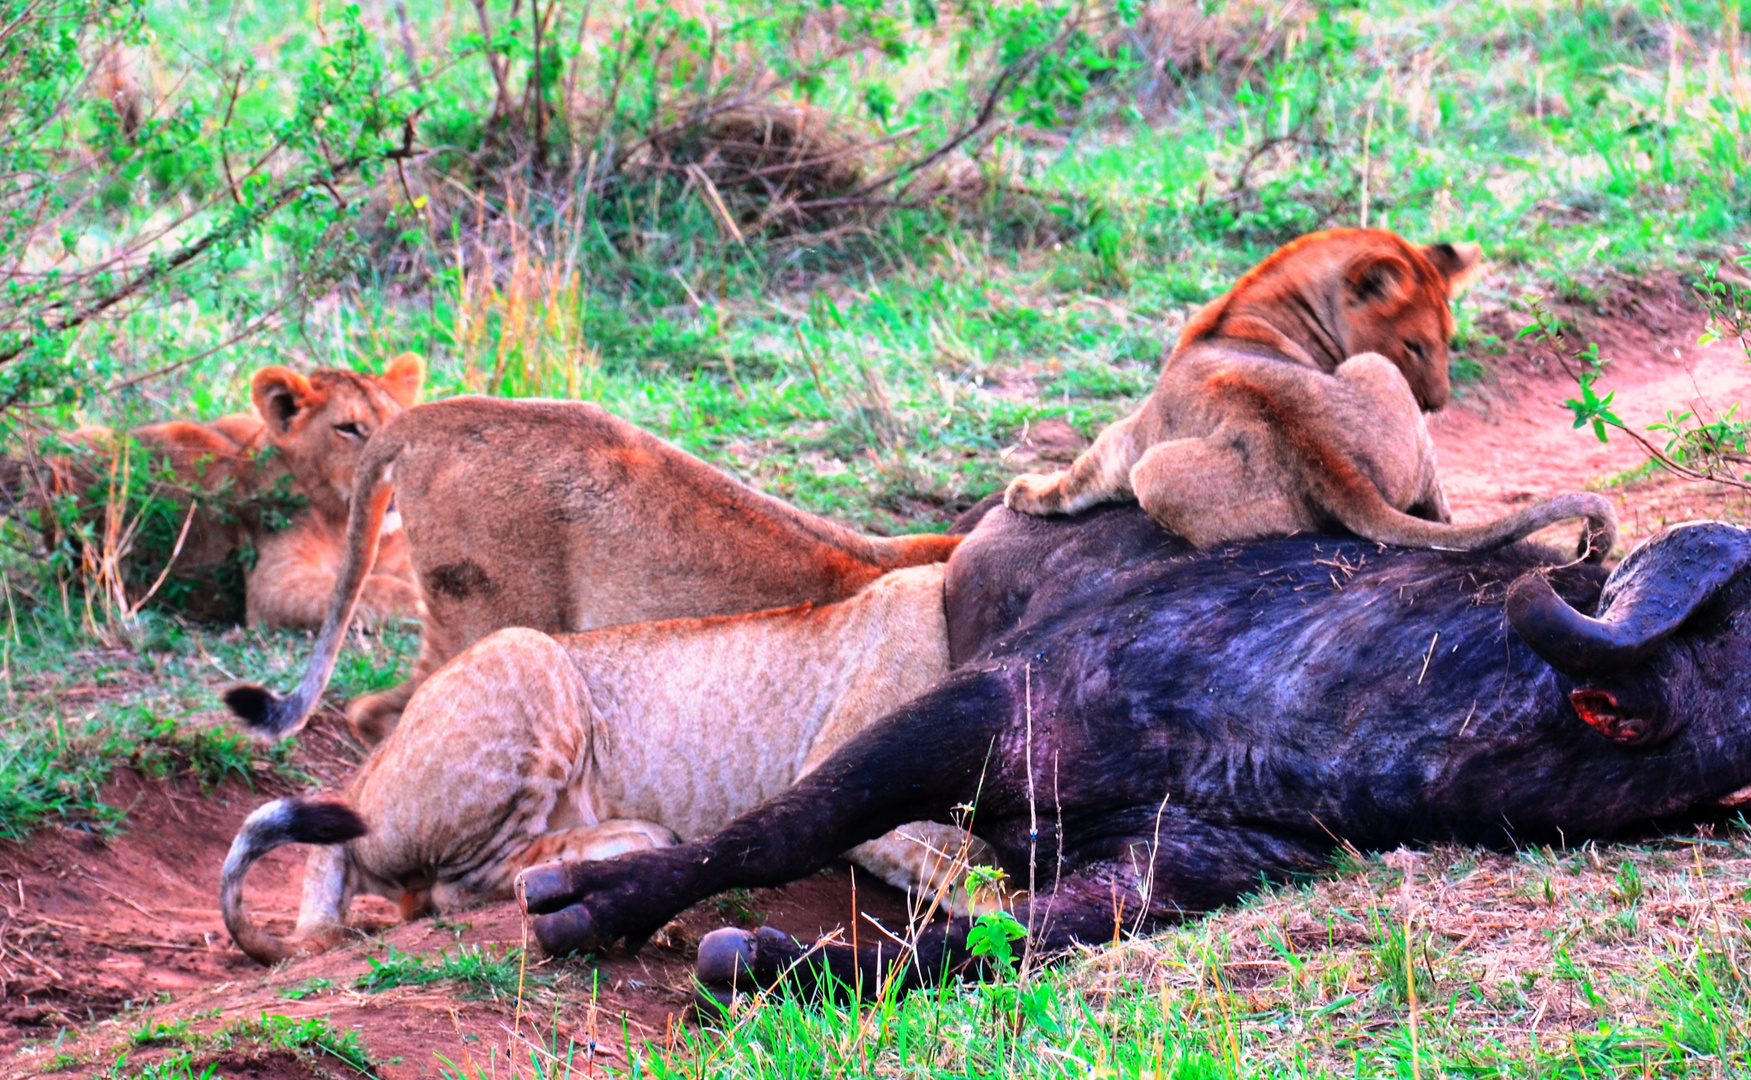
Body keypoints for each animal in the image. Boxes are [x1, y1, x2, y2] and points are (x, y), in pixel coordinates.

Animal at [220, 563, 994, 959]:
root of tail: (360, 778)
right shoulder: (842, 776)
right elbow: (963, 863)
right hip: (529, 654)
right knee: (456, 888)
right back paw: (624, 844)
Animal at [514, 504, 1751, 994]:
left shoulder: (1168, 873)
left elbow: (981, 942)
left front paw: (777, 963)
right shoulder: (983, 709)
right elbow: (779, 828)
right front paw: (595, 903)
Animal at [1008, 229, 1617, 563]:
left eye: (1445, 342)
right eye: (1419, 345)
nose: (1439, 405)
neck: (1251, 307)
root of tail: (1332, 463)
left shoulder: (1137, 432)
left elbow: (1084, 471)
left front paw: (1024, 491)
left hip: (1152, 472)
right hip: (1375, 371)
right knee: (1438, 510)